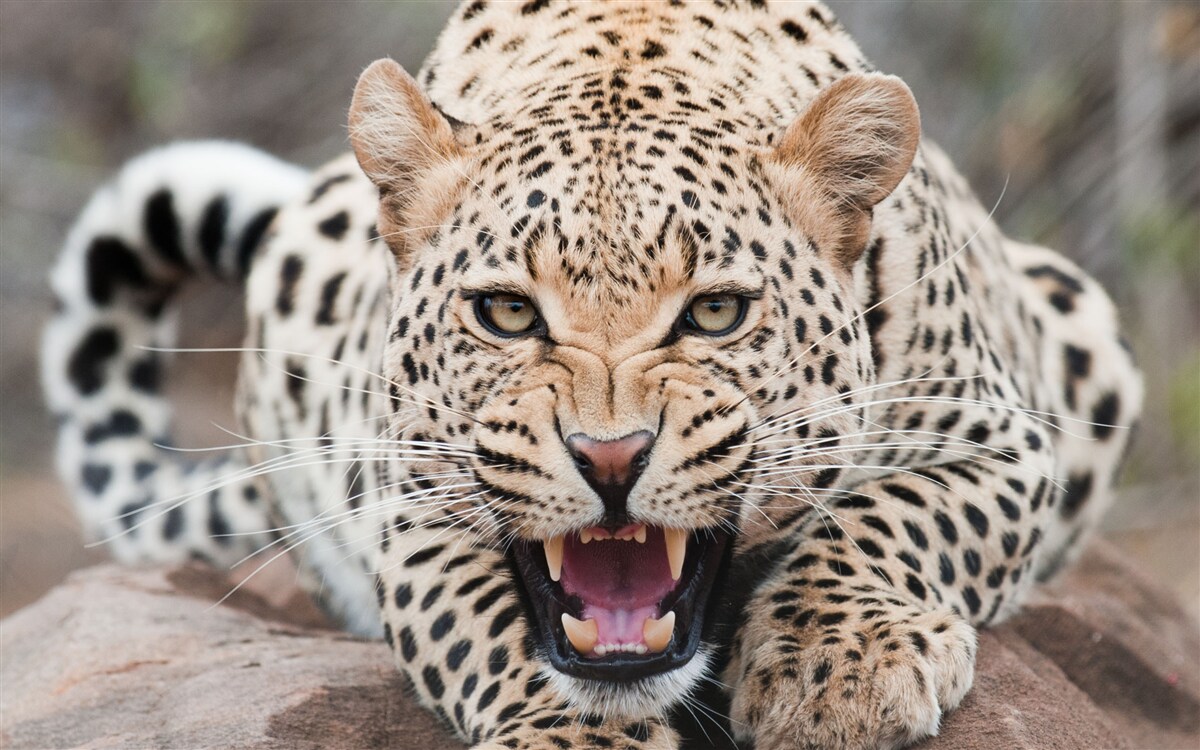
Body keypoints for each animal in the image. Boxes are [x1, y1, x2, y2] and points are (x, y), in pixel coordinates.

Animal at [42, 1, 1143, 748]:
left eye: (715, 313)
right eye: (506, 313)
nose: (610, 458)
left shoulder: (1002, 438)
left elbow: (892, 516)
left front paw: (838, 671)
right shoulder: (413, 508)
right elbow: (488, 628)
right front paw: (574, 737)